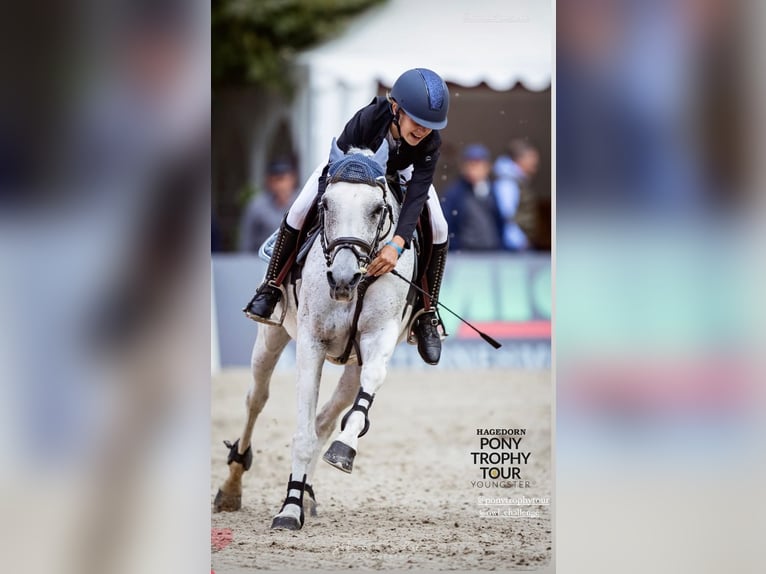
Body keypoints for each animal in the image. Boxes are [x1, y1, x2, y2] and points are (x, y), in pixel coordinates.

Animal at [216, 138, 416, 532]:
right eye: (325, 205)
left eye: (377, 209)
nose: (342, 279)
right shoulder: (312, 342)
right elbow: (303, 433)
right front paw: (289, 509)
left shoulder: (379, 336)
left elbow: (367, 386)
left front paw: (344, 449)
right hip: (271, 338)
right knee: (256, 399)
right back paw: (232, 486)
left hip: (351, 365)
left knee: (326, 417)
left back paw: (309, 487)